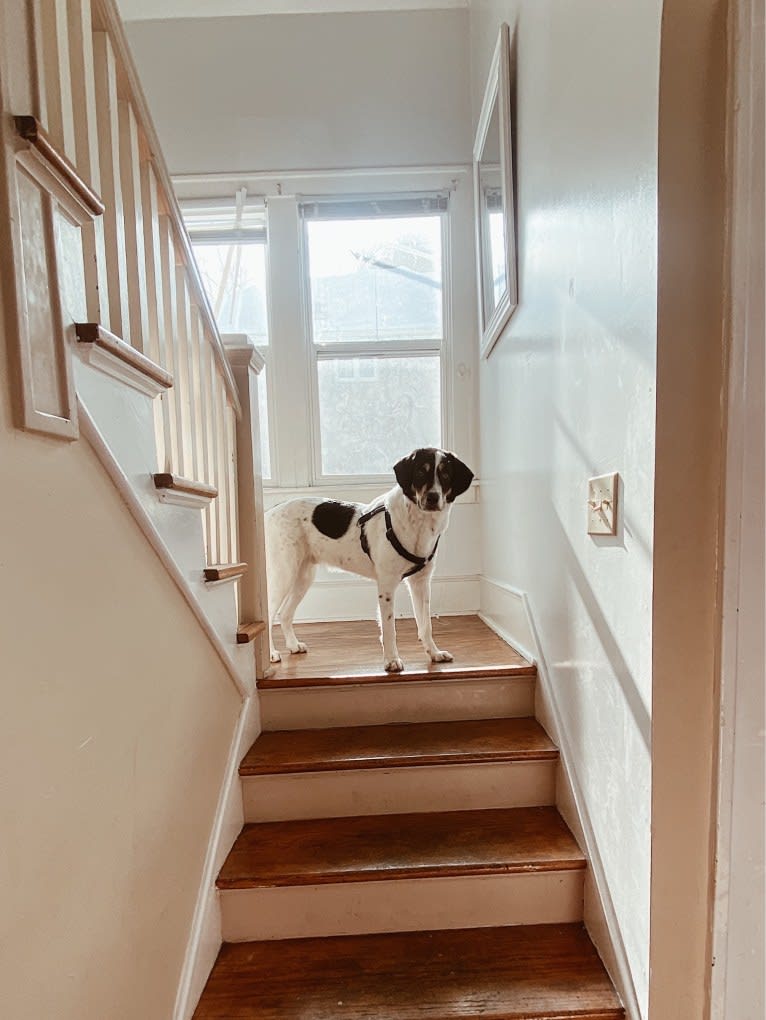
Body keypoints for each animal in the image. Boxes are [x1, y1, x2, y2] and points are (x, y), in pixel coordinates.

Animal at [267, 450, 473, 673]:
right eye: (420, 472)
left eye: (445, 474)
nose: (433, 498)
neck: (417, 524)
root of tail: (270, 512)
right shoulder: (387, 585)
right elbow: (389, 628)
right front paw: (391, 660)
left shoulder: (420, 583)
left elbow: (426, 625)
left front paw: (434, 653)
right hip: (283, 576)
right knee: (268, 615)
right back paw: (270, 653)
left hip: (302, 577)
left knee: (284, 613)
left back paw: (293, 645)